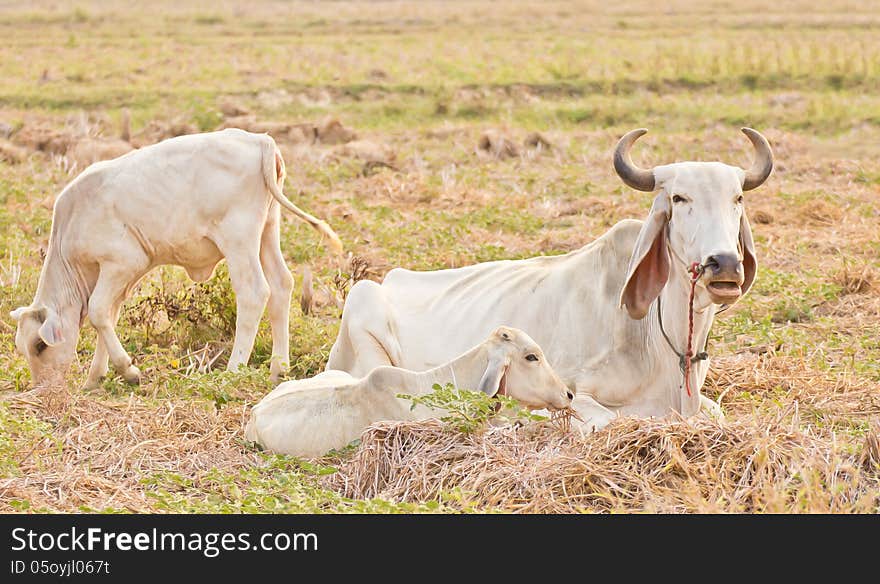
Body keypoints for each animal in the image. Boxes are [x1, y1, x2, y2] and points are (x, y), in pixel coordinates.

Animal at [13, 128, 344, 388]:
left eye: (39, 346)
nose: (44, 389)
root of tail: (260, 141)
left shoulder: (122, 263)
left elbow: (97, 312)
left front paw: (128, 370)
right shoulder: (122, 277)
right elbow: (108, 316)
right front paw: (96, 378)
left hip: (239, 240)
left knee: (254, 293)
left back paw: (234, 368)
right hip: (267, 231)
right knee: (281, 286)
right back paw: (279, 369)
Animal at [326, 128, 772, 434]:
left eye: (738, 198)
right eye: (679, 198)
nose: (723, 264)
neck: (666, 343)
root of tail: (390, 279)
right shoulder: (578, 394)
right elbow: (603, 421)